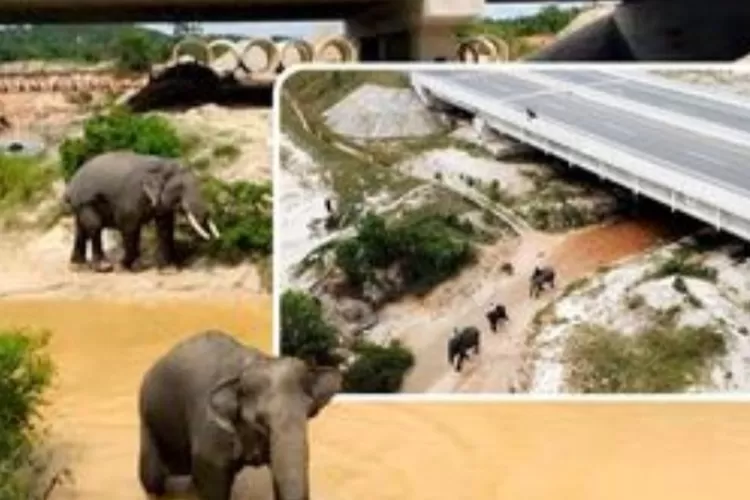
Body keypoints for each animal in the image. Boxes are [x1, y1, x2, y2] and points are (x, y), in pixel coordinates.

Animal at [64, 150, 220, 272]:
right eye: (180, 188)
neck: (162, 164)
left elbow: (165, 228)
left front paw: (168, 270)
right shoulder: (132, 195)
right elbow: (130, 227)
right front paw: (123, 267)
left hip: (80, 205)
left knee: (81, 229)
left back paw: (78, 266)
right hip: (85, 201)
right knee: (94, 227)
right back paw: (104, 267)